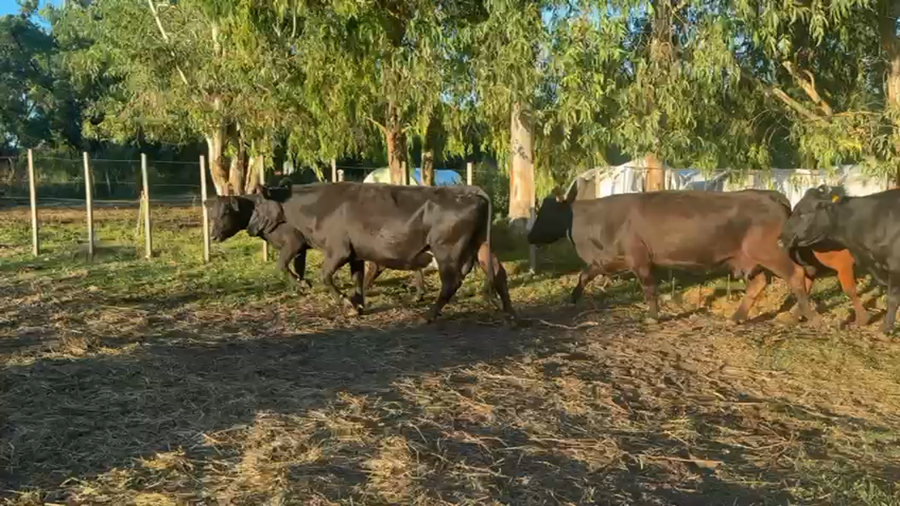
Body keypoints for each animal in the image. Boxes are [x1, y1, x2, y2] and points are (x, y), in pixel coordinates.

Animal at [249, 181, 515, 322]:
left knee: (451, 282)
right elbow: (357, 280)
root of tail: (470, 190)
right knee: (499, 273)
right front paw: (358, 305)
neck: (321, 206)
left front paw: (346, 305)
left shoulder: (338, 251)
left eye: (258, 205)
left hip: (446, 250)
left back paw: (429, 314)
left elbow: (326, 277)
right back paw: (510, 312)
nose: (250, 227)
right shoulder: (355, 254)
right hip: (482, 246)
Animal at [526, 186, 820, 325]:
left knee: (798, 275)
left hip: (771, 253)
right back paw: (739, 317)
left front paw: (653, 316)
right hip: (751, 259)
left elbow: (648, 288)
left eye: (545, 213)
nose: (529, 237)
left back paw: (807, 315)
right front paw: (572, 299)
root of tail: (770, 196)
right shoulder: (610, 259)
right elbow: (585, 275)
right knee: (762, 282)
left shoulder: (639, 258)